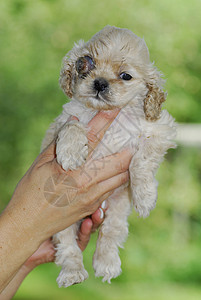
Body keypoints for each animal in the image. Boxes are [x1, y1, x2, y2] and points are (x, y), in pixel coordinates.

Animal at [41, 27, 177, 288]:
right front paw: (71, 154)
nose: (100, 82)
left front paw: (145, 198)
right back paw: (73, 273)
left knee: (111, 233)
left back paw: (107, 264)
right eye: (85, 64)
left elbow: (141, 162)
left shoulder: (158, 132)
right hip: (61, 220)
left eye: (125, 76)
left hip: (117, 208)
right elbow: (72, 127)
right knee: (67, 246)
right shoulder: (64, 122)